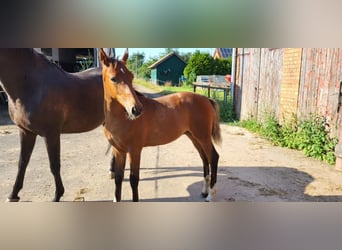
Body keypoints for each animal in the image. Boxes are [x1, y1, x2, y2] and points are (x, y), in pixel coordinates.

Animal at [0, 48, 112, 201]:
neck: (31, 83)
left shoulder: (51, 134)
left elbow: (54, 165)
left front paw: (57, 195)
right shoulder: (26, 132)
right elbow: (22, 163)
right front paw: (13, 194)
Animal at [99, 48, 222, 201]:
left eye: (131, 76)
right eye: (113, 78)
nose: (136, 110)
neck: (123, 118)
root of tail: (206, 99)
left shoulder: (135, 150)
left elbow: (134, 180)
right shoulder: (119, 150)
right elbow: (118, 178)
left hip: (203, 137)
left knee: (213, 158)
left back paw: (210, 195)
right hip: (194, 137)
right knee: (205, 159)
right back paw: (204, 191)